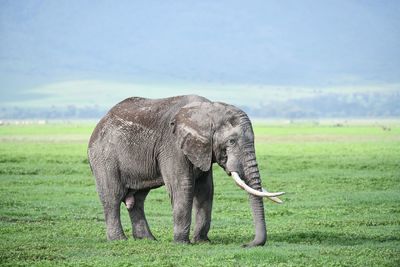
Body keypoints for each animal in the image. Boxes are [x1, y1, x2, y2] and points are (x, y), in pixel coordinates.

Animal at [87, 95, 284, 248]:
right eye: (231, 141)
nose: (246, 244)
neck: (209, 109)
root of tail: (100, 122)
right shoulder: (173, 146)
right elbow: (182, 187)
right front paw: (182, 243)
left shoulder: (203, 151)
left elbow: (206, 189)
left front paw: (202, 242)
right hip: (103, 157)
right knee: (112, 196)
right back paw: (119, 240)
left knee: (137, 200)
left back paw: (148, 240)